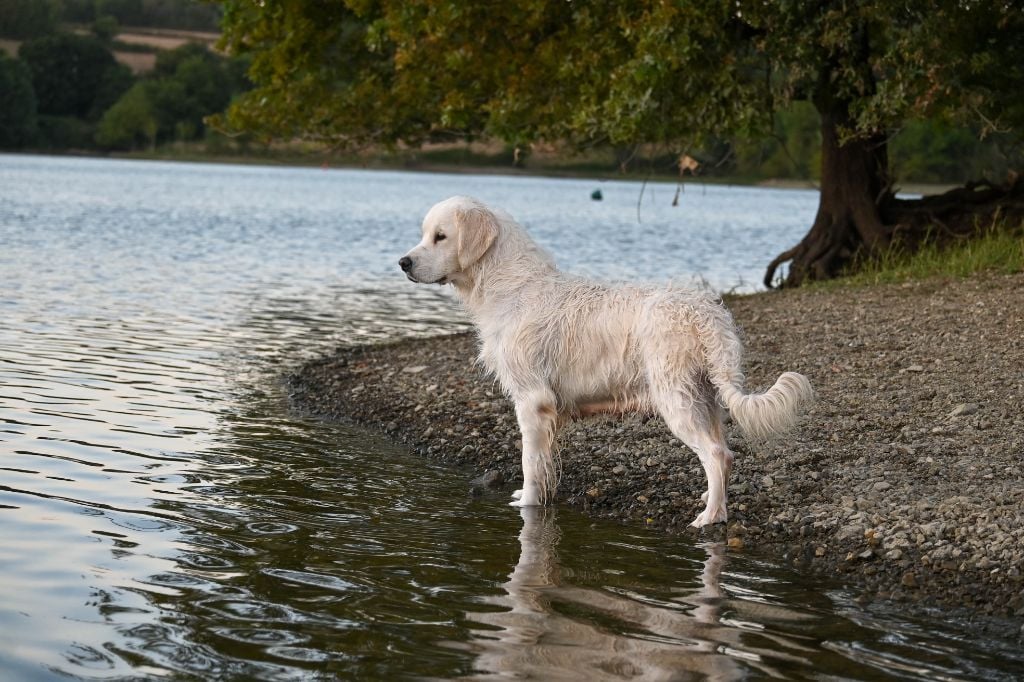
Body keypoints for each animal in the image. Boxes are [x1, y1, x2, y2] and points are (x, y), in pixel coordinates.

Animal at [397, 196, 806, 524]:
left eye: (440, 236)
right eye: (424, 233)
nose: (403, 262)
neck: (511, 286)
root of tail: (706, 312)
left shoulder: (532, 400)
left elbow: (529, 460)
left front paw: (527, 502)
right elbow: (544, 462)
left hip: (676, 398)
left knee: (718, 455)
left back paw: (711, 517)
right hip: (706, 397)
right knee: (725, 452)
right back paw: (711, 498)